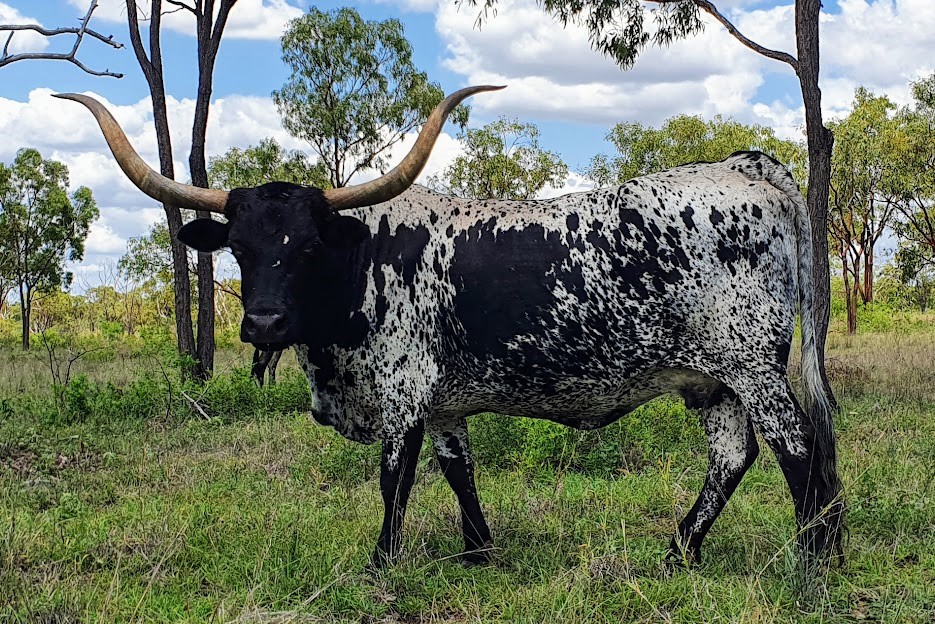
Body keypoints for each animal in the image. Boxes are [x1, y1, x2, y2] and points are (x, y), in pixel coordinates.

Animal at [57, 86, 843, 569]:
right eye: (240, 249)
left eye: (306, 247)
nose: (263, 322)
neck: (362, 261)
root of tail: (746, 166)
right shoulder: (444, 406)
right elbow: (457, 470)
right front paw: (477, 551)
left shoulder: (402, 394)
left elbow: (394, 478)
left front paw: (381, 562)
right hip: (709, 380)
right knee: (733, 455)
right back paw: (681, 550)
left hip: (751, 364)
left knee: (796, 446)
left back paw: (813, 558)